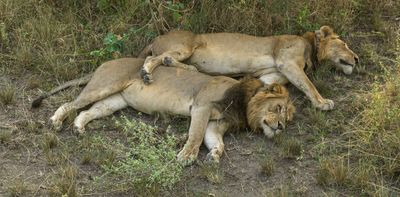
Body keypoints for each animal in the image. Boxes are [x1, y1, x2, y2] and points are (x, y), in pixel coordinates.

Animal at [32, 57, 296, 164]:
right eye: (278, 107)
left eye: (288, 118)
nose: (281, 127)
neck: (245, 104)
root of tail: (105, 62)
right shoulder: (202, 106)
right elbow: (195, 135)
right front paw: (186, 157)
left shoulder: (216, 124)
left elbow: (217, 141)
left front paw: (214, 155)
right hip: (104, 86)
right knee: (70, 104)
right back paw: (56, 122)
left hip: (114, 102)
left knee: (86, 112)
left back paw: (78, 128)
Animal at [140, 25, 360, 111]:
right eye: (344, 44)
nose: (357, 59)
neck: (310, 46)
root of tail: (157, 37)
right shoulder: (287, 62)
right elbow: (309, 85)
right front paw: (323, 103)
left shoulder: (275, 73)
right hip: (185, 46)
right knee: (154, 57)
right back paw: (146, 73)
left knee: (165, 58)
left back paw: (188, 69)